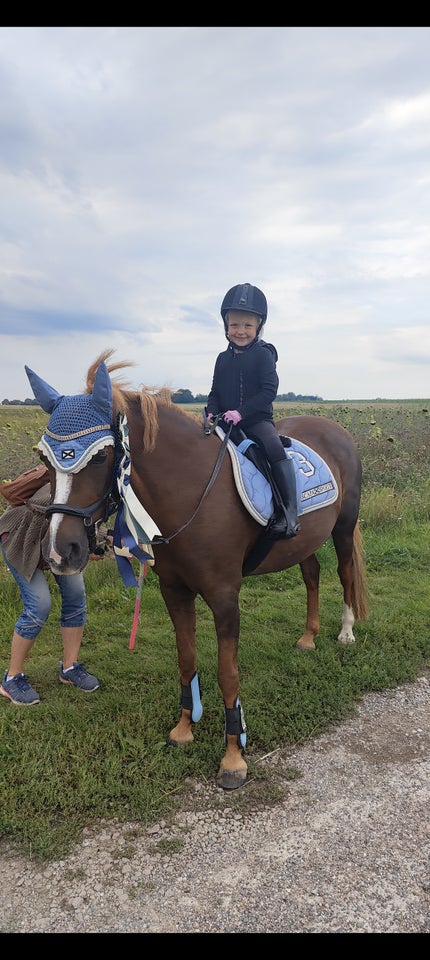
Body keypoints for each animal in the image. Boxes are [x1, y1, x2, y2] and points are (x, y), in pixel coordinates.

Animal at [25, 348, 368, 792]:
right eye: (43, 457)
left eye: (100, 455)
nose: (60, 551)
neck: (191, 492)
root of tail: (333, 428)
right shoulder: (175, 592)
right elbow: (186, 661)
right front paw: (185, 729)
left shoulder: (224, 598)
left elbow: (228, 674)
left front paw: (234, 757)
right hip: (304, 539)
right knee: (312, 574)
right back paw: (308, 636)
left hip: (343, 527)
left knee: (345, 574)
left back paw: (345, 632)